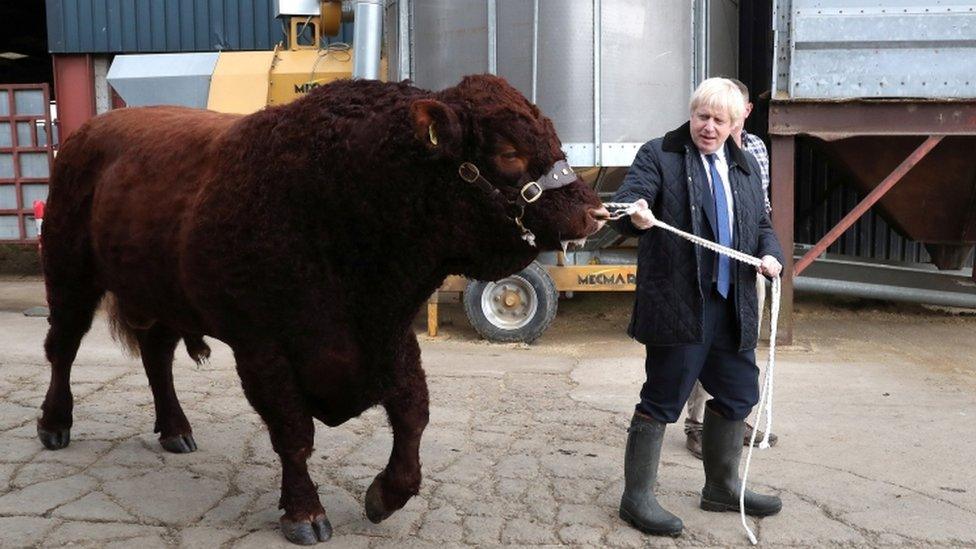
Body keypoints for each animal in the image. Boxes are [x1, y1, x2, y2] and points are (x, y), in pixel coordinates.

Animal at [38, 75, 608, 540]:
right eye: (508, 151)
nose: (595, 213)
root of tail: (84, 134)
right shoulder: (263, 350)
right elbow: (294, 433)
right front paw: (304, 516)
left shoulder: (390, 338)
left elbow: (413, 415)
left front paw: (383, 498)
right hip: (70, 281)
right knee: (63, 348)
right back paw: (55, 426)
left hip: (161, 301)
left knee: (156, 356)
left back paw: (176, 432)